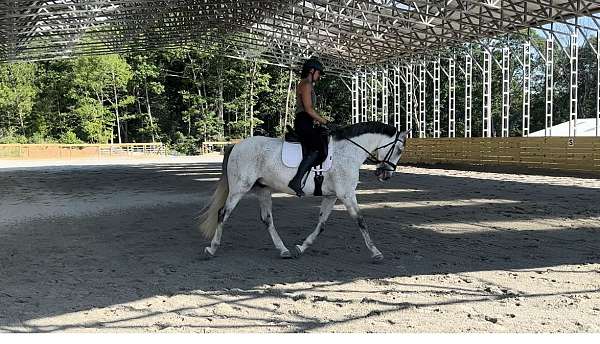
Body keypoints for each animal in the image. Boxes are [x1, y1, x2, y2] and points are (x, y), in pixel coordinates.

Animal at [197, 121, 408, 264]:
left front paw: (301, 247)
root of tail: (236, 145)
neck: (348, 152)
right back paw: (211, 249)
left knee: (267, 219)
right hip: (240, 187)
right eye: (399, 149)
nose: (385, 175)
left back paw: (283, 250)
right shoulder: (347, 194)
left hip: (263, 189)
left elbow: (321, 224)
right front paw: (376, 253)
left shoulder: (332, 196)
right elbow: (361, 221)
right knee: (223, 214)